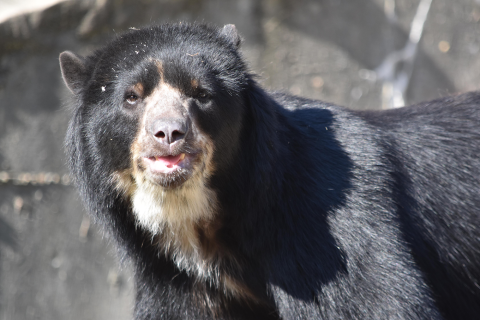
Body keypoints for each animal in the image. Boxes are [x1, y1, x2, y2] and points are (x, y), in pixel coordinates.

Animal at [60, 23, 480, 320]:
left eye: (201, 94)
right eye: (133, 96)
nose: (169, 133)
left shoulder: (321, 229)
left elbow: (374, 304)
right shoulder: (174, 279)